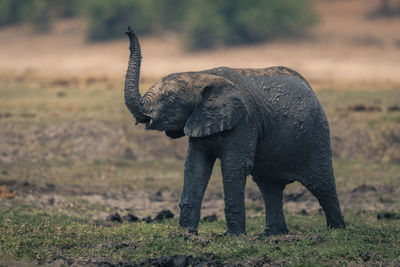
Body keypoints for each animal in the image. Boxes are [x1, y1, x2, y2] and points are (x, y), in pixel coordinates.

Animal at [123, 27, 346, 237]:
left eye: (169, 100)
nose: (128, 30)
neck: (200, 74)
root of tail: (310, 89)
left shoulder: (245, 121)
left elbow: (233, 166)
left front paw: (233, 236)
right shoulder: (200, 120)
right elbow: (196, 166)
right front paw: (185, 235)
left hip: (316, 134)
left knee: (322, 184)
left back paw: (336, 230)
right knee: (269, 187)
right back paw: (271, 234)